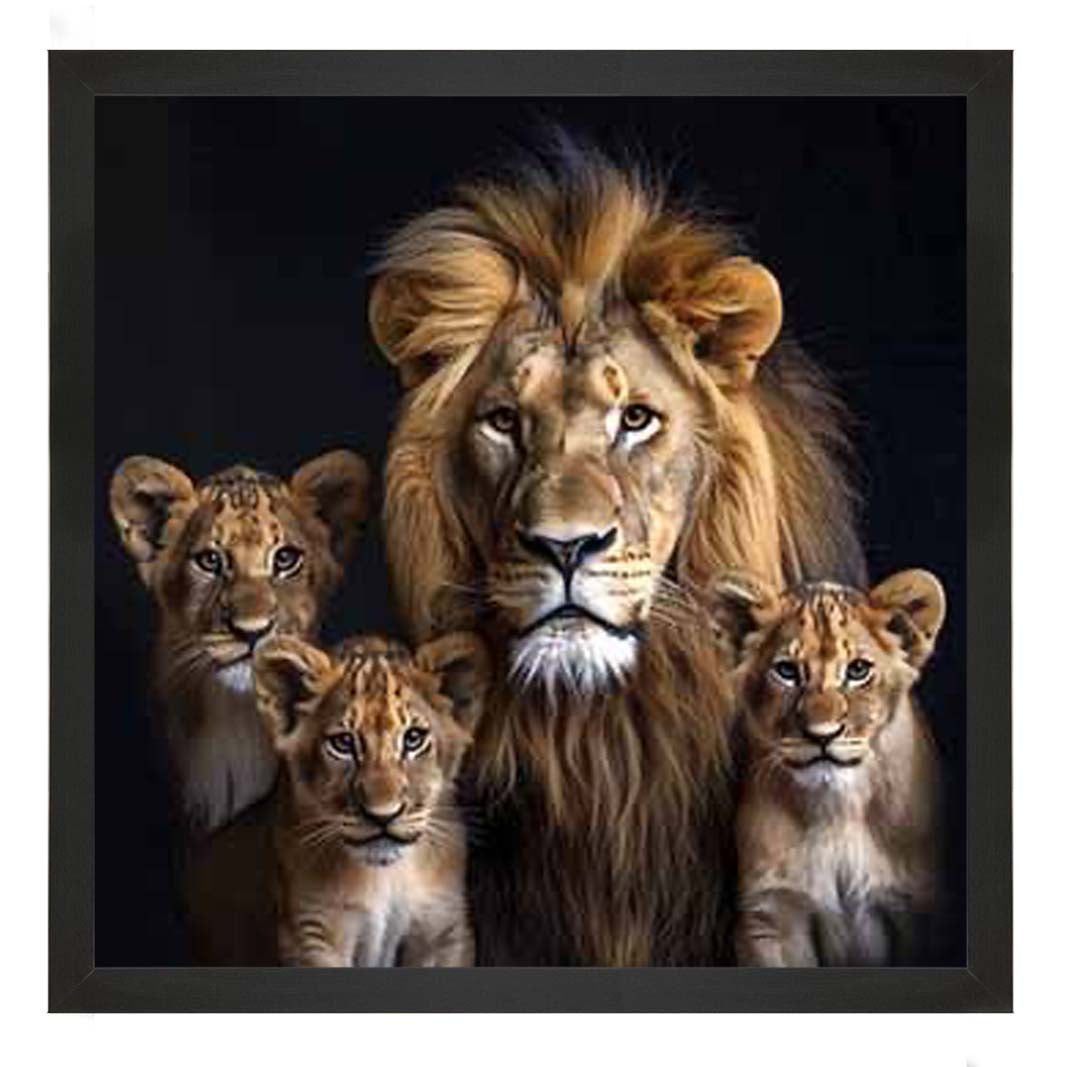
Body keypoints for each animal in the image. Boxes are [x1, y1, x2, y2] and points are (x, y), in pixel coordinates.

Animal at [250, 631, 487, 966]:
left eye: (413, 738)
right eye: (343, 743)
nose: (383, 815)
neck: (385, 877)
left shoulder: (444, 930)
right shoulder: (311, 936)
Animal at [711, 570, 945, 966]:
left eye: (858, 670)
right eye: (786, 671)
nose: (822, 735)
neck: (837, 808)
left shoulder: (918, 908)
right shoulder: (772, 916)